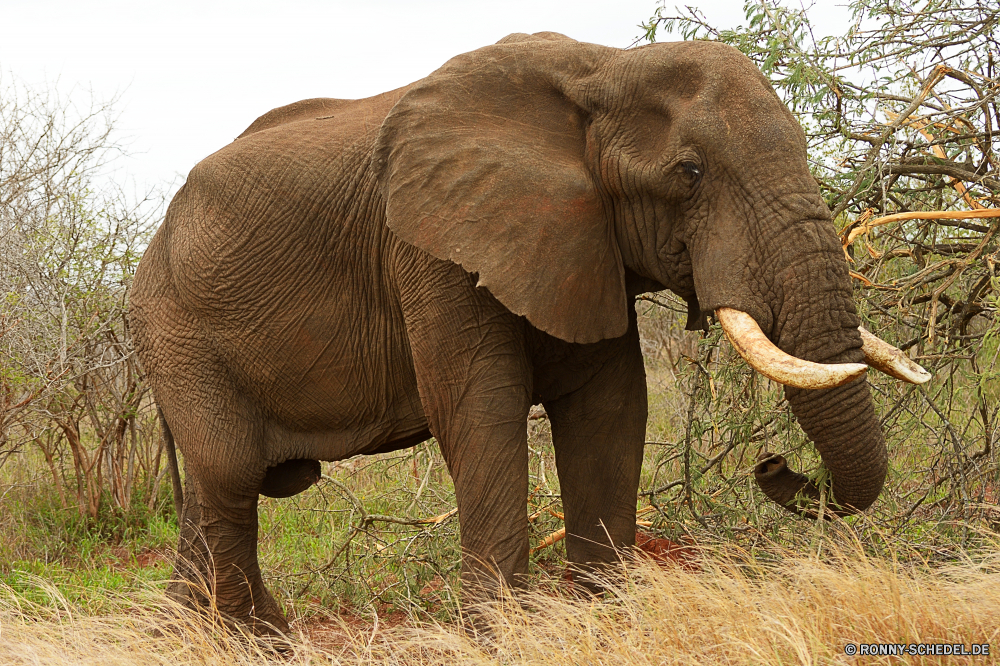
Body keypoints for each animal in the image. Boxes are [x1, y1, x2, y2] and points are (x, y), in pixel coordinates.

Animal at [131, 32, 928, 632]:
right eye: (690, 173)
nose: (773, 466)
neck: (602, 66)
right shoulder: (432, 247)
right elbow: (480, 409)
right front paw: (498, 634)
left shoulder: (584, 240)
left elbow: (610, 408)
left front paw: (606, 617)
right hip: (177, 331)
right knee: (231, 475)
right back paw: (245, 641)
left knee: (216, 490)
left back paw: (204, 635)